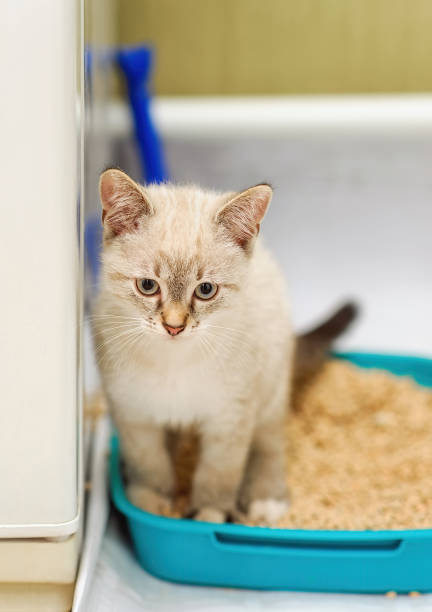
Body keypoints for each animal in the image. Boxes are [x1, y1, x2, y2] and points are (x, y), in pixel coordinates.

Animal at [93, 170, 294, 524]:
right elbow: (149, 464)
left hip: (271, 386)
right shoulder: (133, 413)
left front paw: (207, 514)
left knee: (270, 444)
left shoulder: (230, 417)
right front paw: (151, 503)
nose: (174, 326)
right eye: (148, 286)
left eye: (205, 290)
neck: (173, 360)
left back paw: (265, 501)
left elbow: (217, 476)